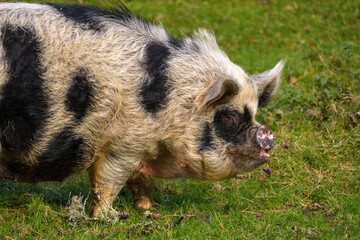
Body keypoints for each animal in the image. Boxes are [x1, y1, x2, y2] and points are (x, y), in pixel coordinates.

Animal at [0, 2, 282, 218]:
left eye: (254, 113)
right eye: (230, 116)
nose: (267, 133)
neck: (169, 101)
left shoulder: (143, 147)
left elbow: (142, 181)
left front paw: (150, 209)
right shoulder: (122, 145)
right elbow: (108, 181)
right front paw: (109, 217)